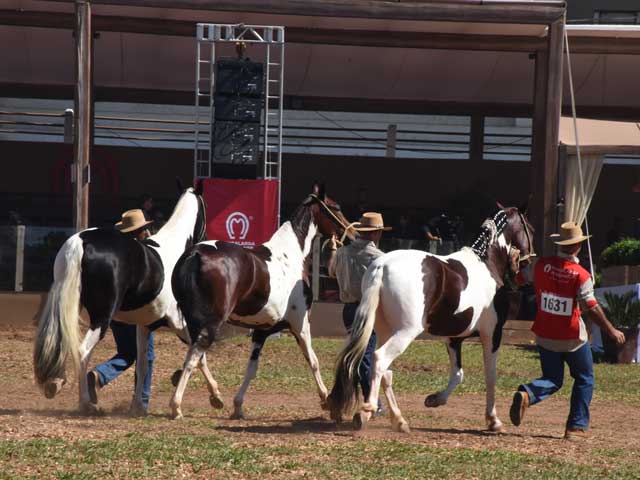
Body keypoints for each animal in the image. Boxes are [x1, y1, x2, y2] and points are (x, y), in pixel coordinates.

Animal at [33, 182, 212, 414]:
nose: (206, 237)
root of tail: (83, 241)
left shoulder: (144, 325)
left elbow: (143, 364)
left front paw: (138, 407)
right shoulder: (179, 322)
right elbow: (199, 357)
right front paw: (214, 397)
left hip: (66, 302)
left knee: (62, 341)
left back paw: (56, 383)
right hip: (101, 317)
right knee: (82, 351)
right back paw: (85, 403)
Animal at [169, 185, 356, 420]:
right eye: (336, 207)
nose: (353, 235)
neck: (290, 256)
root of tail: (195, 254)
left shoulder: (262, 331)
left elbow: (251, 369)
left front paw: (238, 406)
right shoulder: (300, 325)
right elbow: (313, 361)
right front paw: (327, 401)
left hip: (191, 322)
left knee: (198, 356)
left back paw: (216, 396)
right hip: (210, 323)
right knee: (193, 358)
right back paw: (176, 406)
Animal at [328, 204, 532, 434]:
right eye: (529, 227)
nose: (526, 263)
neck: (486, 264)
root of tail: (382, 267)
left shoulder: (454, 338)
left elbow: (458, 374)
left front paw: (435, 399)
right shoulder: (492, 335)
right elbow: (490, 376)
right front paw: (493, 420)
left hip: (385, 331)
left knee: (385, 371)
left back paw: (399, 420)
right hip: (405, 332)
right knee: (379, 360)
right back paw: (366, 410)